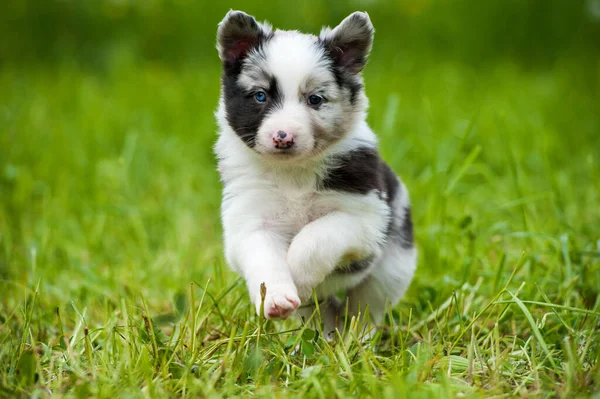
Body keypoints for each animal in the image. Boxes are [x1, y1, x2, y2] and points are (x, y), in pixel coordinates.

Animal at [216, 10, 418, 336]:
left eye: (315, 99)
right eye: (260, 96)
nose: (283, 137)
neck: (293, 173)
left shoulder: (363, 220)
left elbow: (315, 238)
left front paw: (298, 278)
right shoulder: (250, 224)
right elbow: (265, 259)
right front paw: (276, 297)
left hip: (392, 270)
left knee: (364, 307)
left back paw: (357, 338)